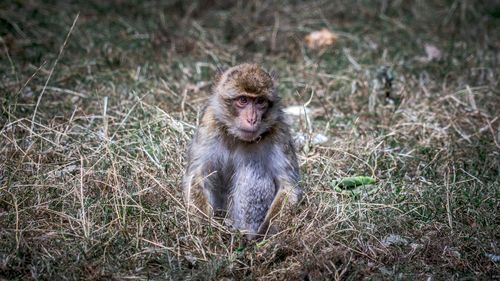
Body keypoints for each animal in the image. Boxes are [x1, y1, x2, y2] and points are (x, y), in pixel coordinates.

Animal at [183, 63, 302, 238]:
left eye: (260, 101)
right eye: (243, 100)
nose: (252, 119)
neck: (237, 137)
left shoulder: (280, 133)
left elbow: (289, 187)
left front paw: (264, 235)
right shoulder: (209, 125)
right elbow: (198, 175)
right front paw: (206, 232)